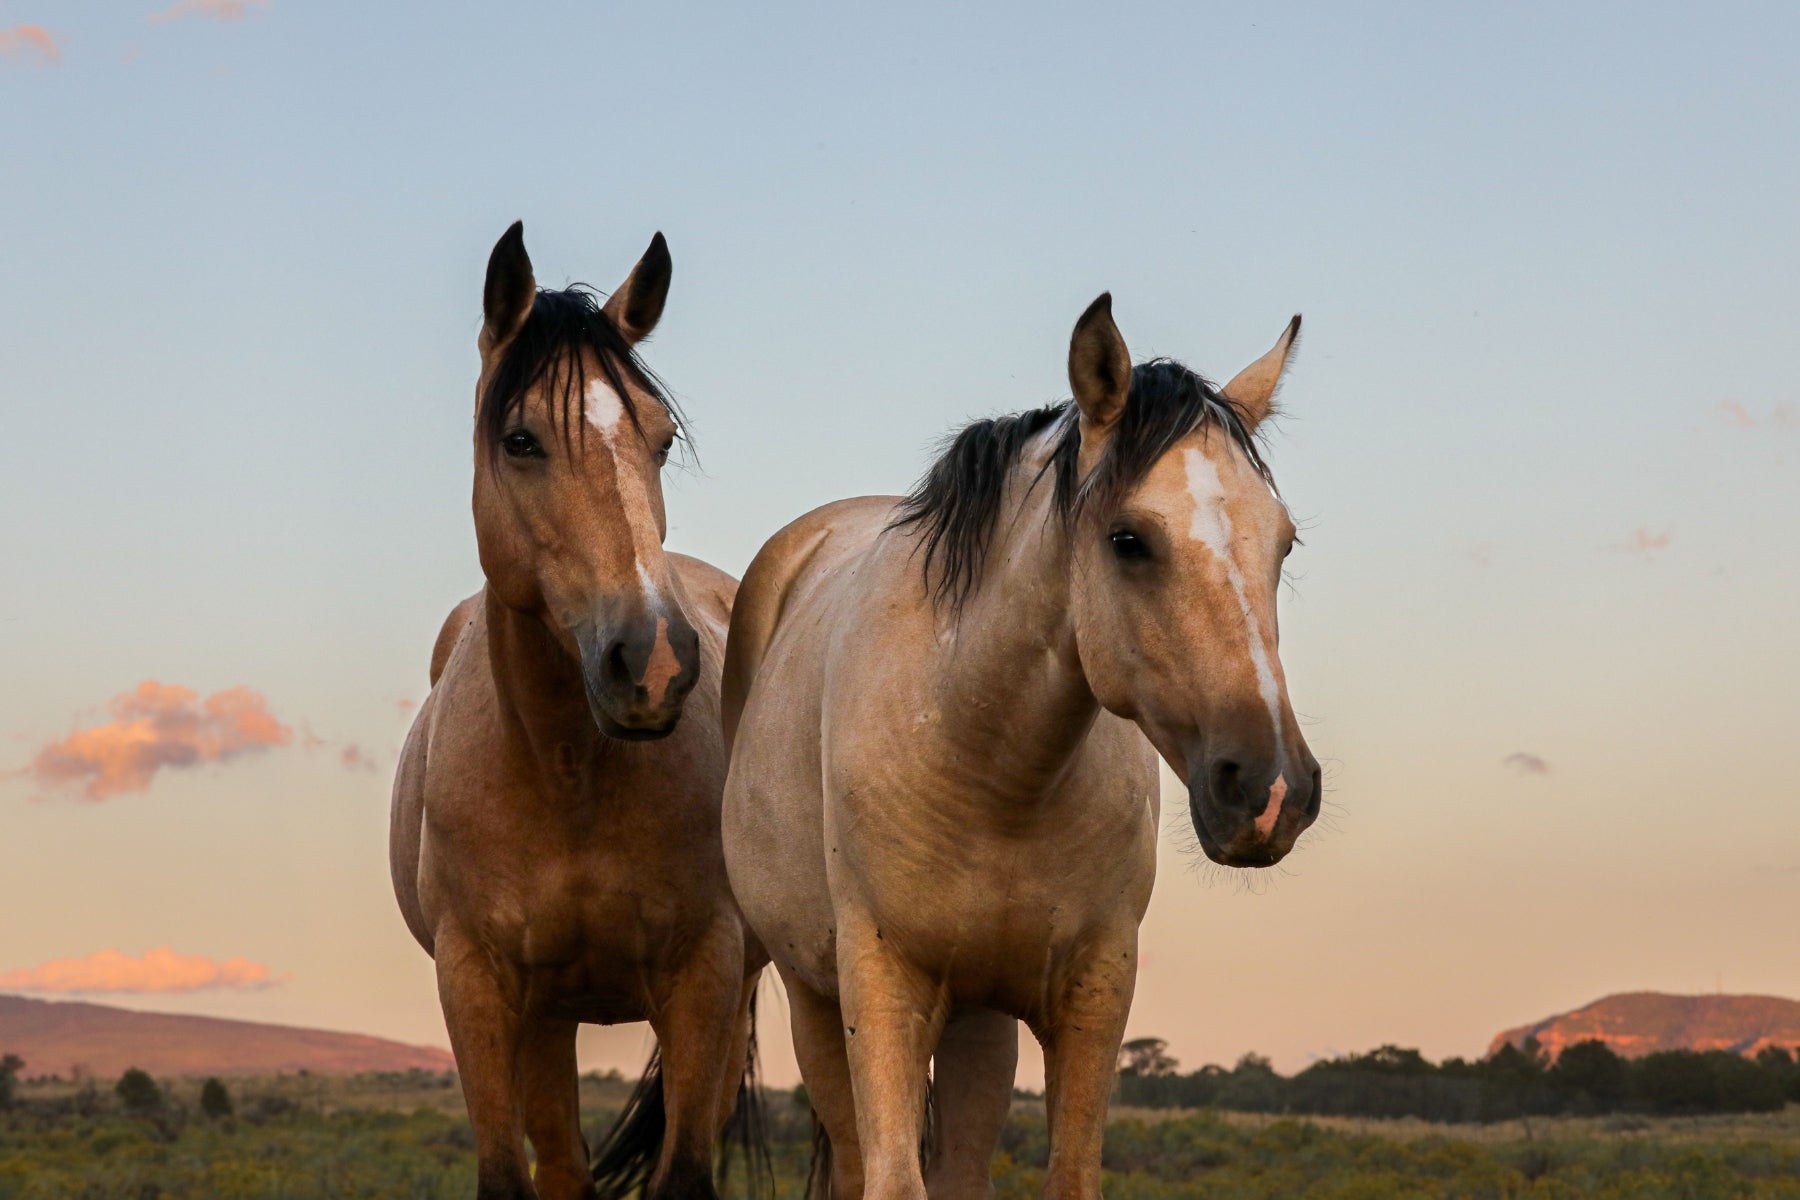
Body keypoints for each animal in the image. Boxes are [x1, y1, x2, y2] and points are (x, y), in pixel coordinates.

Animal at [390, 224, 763, 1200]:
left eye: (661, 441)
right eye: (521, 440)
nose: (655, 662)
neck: (568, 776)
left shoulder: (707, 972)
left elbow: (685, 1175)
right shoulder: (479, 986)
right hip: (547, 1019)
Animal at [716, 298, 1324, 1200]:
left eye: (1282, 543)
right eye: (1128, 539)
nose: (1271, 789)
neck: (994, 769)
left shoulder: (1094, 991)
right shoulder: (881, 991)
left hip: (978, 1022)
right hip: (815, 1004)